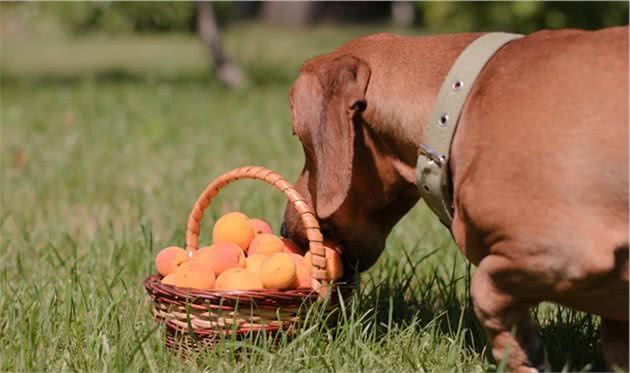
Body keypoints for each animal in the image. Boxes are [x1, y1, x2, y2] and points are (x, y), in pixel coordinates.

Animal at [284, 27, 628, 370]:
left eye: (301, 141)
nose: (287, 230)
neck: (460, 105)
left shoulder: (563, 250)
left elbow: (484, 290)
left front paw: (521, 351)